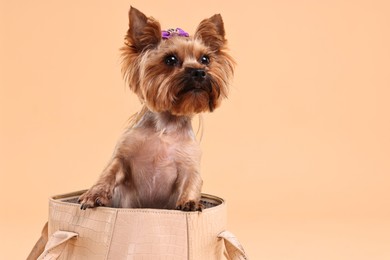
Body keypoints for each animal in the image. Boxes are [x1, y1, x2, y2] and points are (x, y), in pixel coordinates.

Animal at [77, 6, 233, 211]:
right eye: (170, 59)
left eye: (205, 59)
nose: (199, 71)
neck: (167, 125)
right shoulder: (123, 156)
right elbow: (108, 173)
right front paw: (94, 194)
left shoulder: (189, 164)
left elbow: (192, 181)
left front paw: (190, 202)